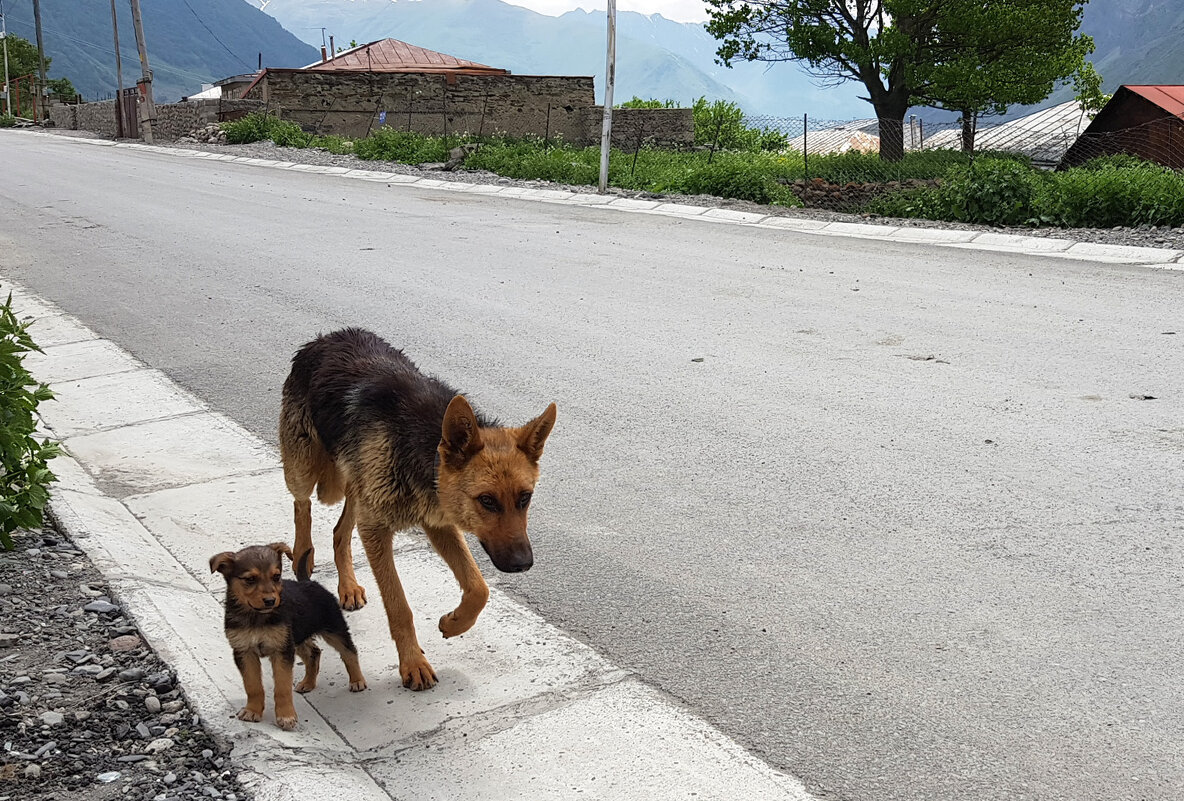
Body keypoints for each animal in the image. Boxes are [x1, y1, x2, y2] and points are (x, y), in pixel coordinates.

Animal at [209, 539, 364, 728]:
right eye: (250, 579)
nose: (270, 601)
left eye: (276, 576)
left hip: (333, 627)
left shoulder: (281, 650)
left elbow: (282, 687)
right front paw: (252, 711)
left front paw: (286, 716)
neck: (257, 617)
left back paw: (357, 681)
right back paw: (308, 683)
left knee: (349, 651)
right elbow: (252, 685)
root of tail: (307, 582)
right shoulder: (245, 651)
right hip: (297, 636)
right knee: (313, 653)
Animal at [279, 328, 556, 690]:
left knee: (340, 531)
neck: (425, 449)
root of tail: (325, 338)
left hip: (357, 488)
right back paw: (303, 555)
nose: (523, 565)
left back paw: (347, 585)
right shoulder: (377, 530)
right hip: (305, 469)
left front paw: (454, 623)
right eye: (487, 500)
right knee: (303, 506)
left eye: (525, 498)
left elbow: (478, 588)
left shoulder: (438, 525)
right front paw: (413, 663)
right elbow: (399, 606)